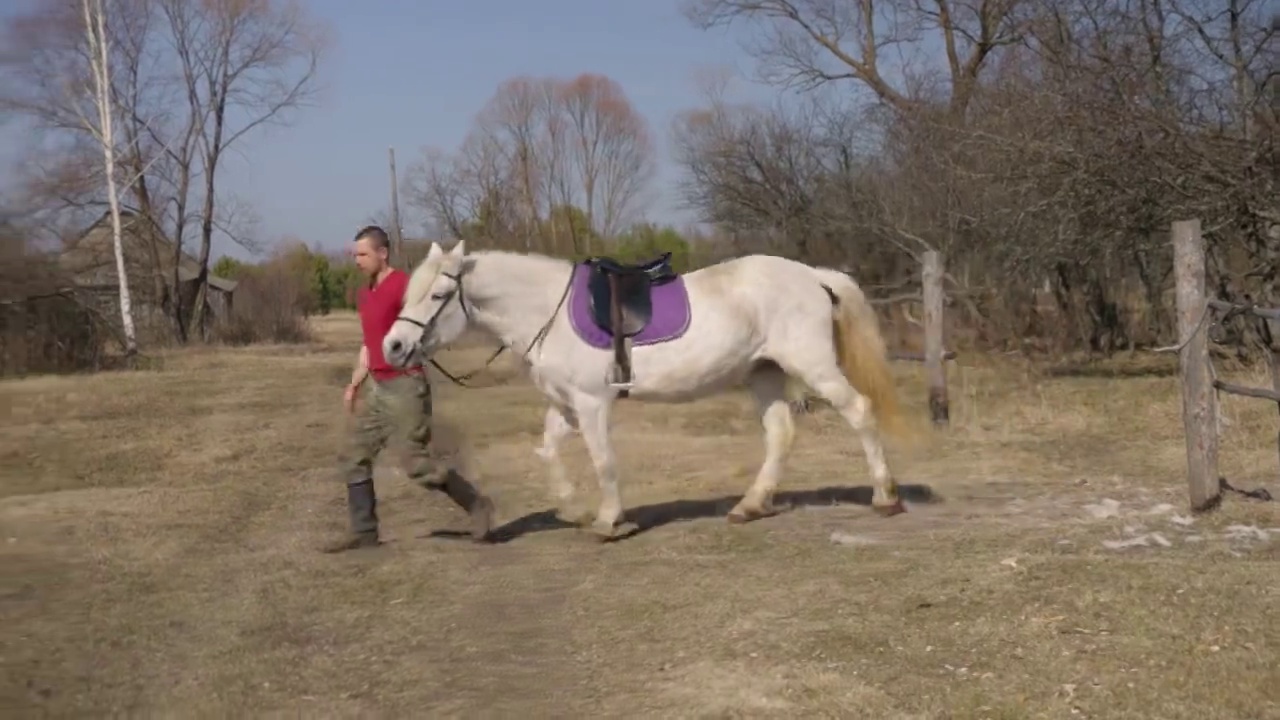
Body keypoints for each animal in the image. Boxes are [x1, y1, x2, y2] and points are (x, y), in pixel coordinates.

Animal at [378, 240, 911, 538]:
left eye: (439, 294)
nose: (394, 347)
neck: (547, 310)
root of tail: (813, 276)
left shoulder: (592, 404)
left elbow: (603, 461)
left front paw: (610, 521)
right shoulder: (565, 405)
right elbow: (548, 452)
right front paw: (573, 509)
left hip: (813, 365)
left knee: (860, 412)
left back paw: (885, 497)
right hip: (763, 372)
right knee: (780, 434)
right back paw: (750, 506)